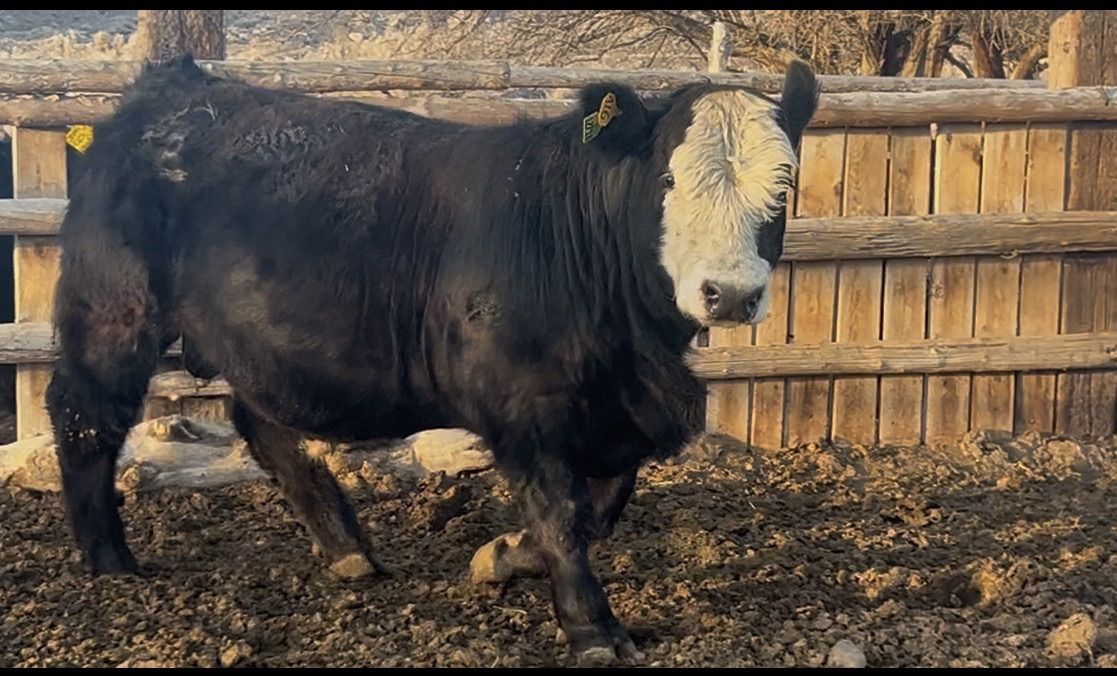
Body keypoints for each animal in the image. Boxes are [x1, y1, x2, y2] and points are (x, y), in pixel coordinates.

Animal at [46, 56, 818, 665]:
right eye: (667, 182)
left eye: (783, 187)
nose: (729, 294)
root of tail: (170, 90)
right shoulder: (524, 408)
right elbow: (562, 511)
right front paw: (593, 628)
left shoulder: (617, 412)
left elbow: (602, 506)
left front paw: (503, 557)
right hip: (113, 311)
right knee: (85, 416)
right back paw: (110, 561)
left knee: (262, 426)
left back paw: (346, 547)